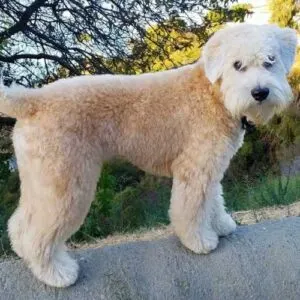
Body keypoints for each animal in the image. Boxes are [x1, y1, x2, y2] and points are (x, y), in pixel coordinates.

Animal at [0, 23, 296, 286]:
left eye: (270, 61)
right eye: (237, 65)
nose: (260, 92)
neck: (214, 92)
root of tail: (34, 101)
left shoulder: (210, 166)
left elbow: (212, 199)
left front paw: (221, 225)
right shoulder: (195, 169)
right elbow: (191, 208)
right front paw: (199, 240)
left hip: (42, 181)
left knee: (20, 224)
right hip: (67, 186)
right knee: (38, 234)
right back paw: (56, 274)